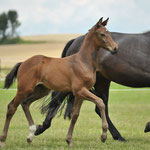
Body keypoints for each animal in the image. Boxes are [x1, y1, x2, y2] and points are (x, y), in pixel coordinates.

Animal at [0, 17, 118, 148]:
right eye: (102, 34)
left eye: (109, 33)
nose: (115, 48)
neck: (83, 62)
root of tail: (23, 63)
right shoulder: (80, 90)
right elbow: (100, 102)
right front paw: (103, 136)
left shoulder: (80, 93)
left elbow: (75, 115)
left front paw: (69, 141)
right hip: (24, 89)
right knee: (12, 107)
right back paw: (3, 140)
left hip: (41, 90)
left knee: (25, 103)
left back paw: (30, 135)